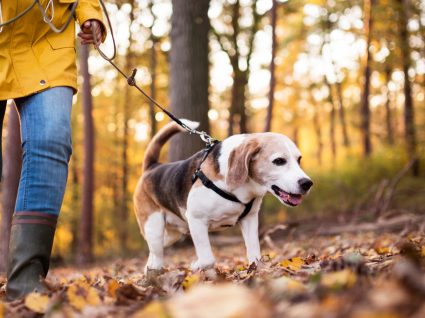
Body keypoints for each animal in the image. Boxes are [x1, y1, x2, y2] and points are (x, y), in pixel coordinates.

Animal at [134, 119, 314, 274]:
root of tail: (152, 167)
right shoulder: (196, 220)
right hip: (154, 227)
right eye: (279, 161)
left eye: (299, 159)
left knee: (153, 254)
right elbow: (207, 259)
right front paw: (196, 265)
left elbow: (255, 254)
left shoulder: (249, 219)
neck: (244, 189)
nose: (307, 183)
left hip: (171, 235)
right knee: (157, 254)